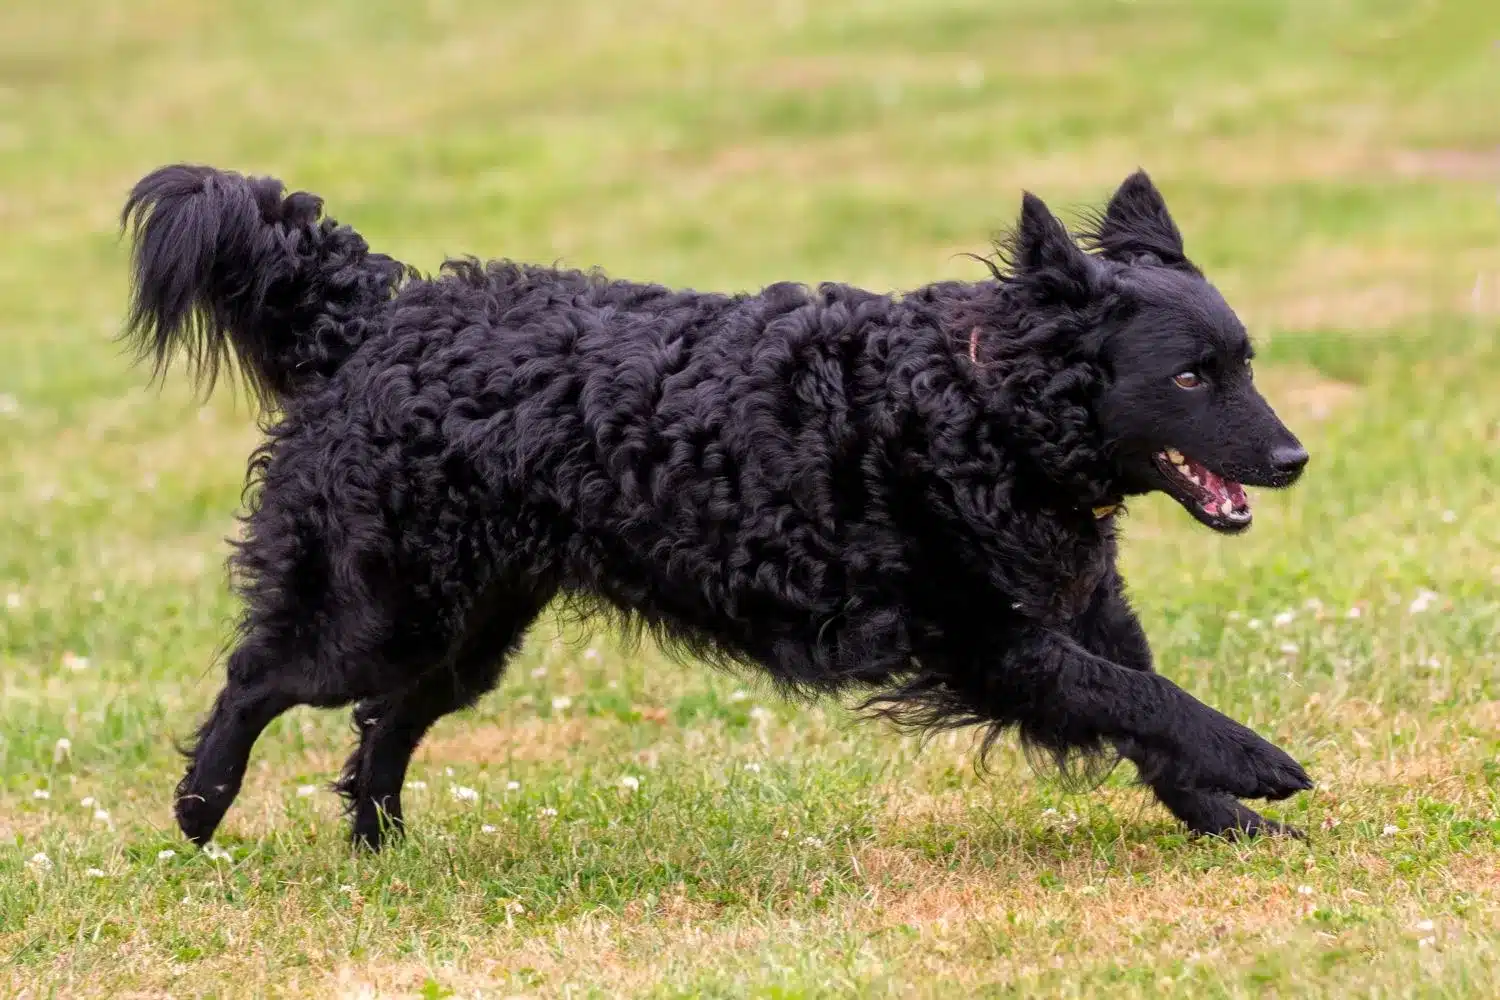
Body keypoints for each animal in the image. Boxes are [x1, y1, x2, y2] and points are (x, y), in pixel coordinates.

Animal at [123, 164, 1308, 851]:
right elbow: (1146, 702)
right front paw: (1259, 765)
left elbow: (1150, 708)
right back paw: (201, 807)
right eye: (1193, 376)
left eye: (1245, 362)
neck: (975, 401)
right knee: (259, 677)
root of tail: (379, 318)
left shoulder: (1074, 616)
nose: (1295, 457)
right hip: (383, 613)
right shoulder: (990, 642)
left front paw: (1225, 817)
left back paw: (380, 847)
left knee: (381, 722)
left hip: (466, 631)